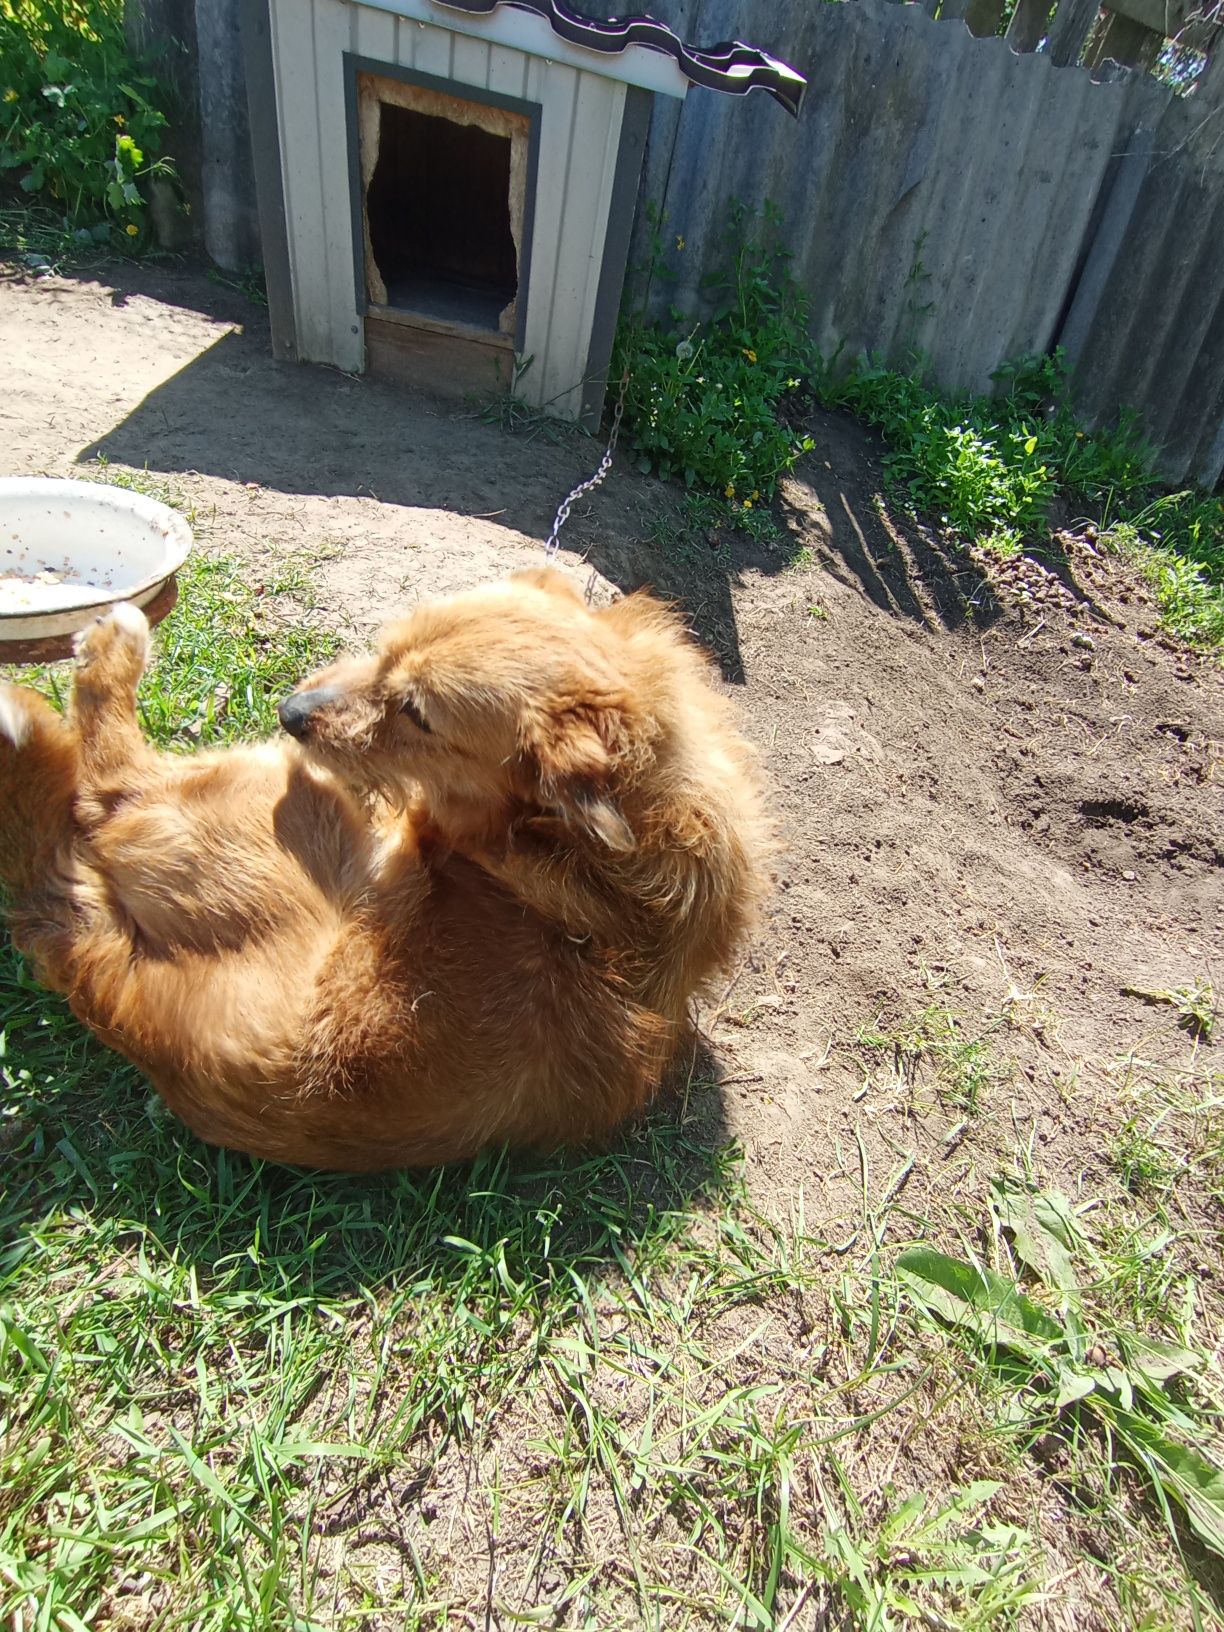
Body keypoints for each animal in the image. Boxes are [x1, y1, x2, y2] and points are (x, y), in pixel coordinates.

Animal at [0, 567, 767, 1168]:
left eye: (419, 715)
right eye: (383, 651)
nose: (290, 712)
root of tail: (115, 1001)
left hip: (265, 793)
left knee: (107, 779)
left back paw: (109, 644)